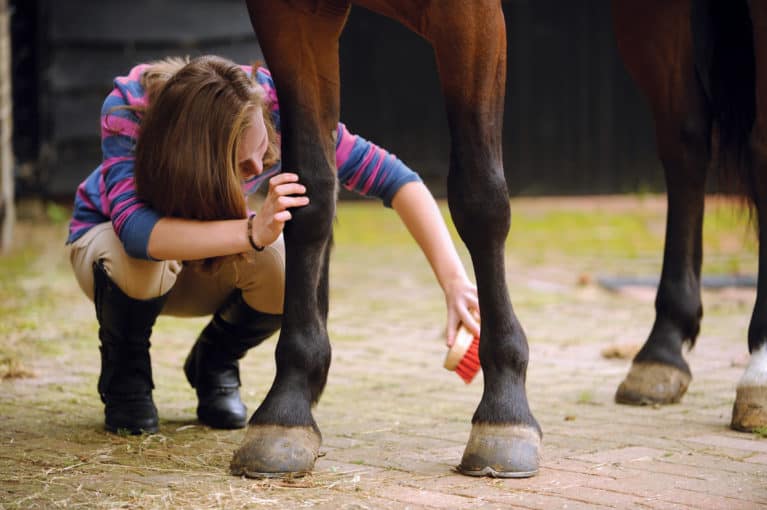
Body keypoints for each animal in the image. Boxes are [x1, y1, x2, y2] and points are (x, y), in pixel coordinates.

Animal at [228, 0, 767, 478]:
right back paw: (662, 351)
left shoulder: (470, 15)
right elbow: (309, 193)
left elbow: (480, 197)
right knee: (685, 140)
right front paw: (288, 404)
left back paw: (756, 366)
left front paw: (504, 409)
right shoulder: (293, 13)